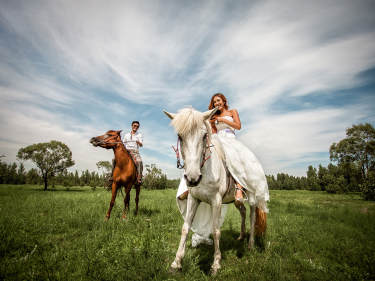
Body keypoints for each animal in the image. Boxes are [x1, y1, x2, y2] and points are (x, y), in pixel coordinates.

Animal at [164, 107, 268, 274]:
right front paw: (176, 262)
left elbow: (215, 230)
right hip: (235, 201)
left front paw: (216, 264)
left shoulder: (216, 201)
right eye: (180, 136)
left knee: (252, 216)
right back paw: (240, 237)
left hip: (252, 196)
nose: (193, 178)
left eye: (204, 135)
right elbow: (185, 228)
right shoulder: (193, 199)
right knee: (243, 211)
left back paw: (250, 244)